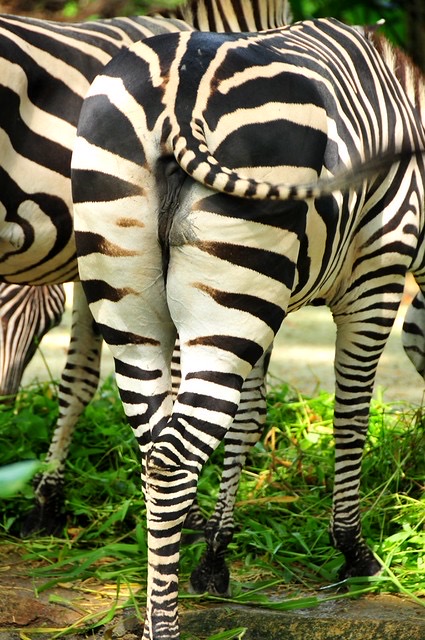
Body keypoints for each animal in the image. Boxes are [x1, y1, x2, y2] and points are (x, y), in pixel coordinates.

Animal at [71, 17, 425, 639]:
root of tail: (180, 87)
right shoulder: (377, 275)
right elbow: (353, 415)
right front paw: (354, 553)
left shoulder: (271, 306)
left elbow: (247, 419)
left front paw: (215, 555)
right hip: (240, 276)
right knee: (173, 459)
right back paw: (164, 627)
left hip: (143, 295)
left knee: (153, 448)